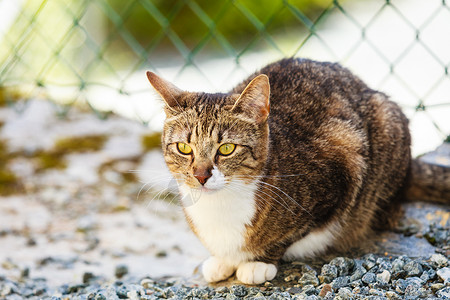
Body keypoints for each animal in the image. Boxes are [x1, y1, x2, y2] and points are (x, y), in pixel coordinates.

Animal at [146, 57, 448, 284]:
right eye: (184, 147)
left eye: (227, 148)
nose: (200, 175)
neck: (220, 206)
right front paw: (222, 260)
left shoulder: (342, 169)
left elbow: (293, 234)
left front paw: (258, 262)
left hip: (387, 124)